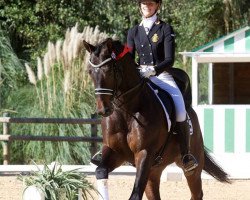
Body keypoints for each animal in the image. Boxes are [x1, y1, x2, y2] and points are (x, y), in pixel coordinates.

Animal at [83, 38, 229, 200]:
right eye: (90, 72)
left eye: (109, 70)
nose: (103, 109)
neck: (127, 111)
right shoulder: (114, 151)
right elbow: (100, 171)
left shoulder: (144, 153)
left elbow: (135, 194)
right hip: (154, 170)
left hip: (191, 167)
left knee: (196, 192)